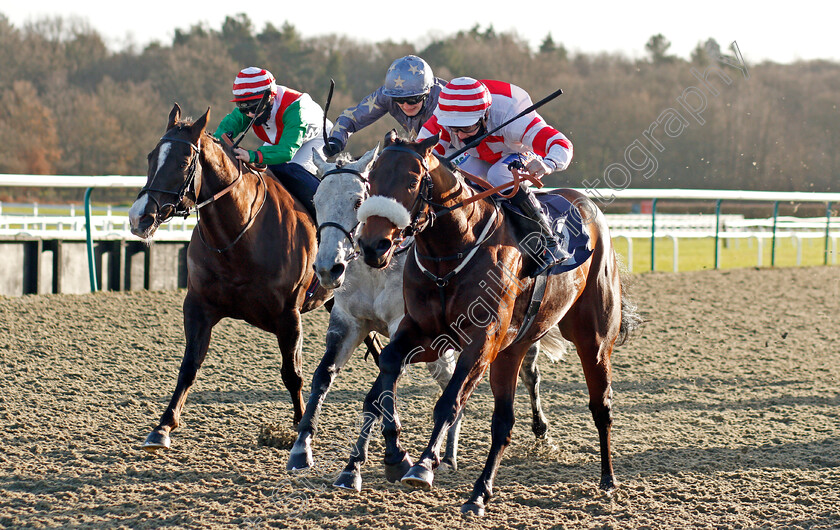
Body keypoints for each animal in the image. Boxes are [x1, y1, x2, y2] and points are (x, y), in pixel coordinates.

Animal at [130, 103, 330, 450]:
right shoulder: (198, 305)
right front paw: (163, 427)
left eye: (183, 162)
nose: (138, 217)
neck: (240, 236)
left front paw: (300, 429)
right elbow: (189, 366)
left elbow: (292, 373)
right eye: (151, 156)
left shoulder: (288, 314)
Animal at [338, 131, 640, 512]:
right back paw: (479, 492)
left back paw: (607, 481)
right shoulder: (425, 333)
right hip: (512, 350)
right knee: (504, 423)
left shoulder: (480, 340)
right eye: (371, 179)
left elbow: (449, 403)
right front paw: (382, 459)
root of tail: (588, 206)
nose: (373, 245)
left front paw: (423, 465)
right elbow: (386, 373)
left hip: (593, 340)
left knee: (601, 406)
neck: (449, 253)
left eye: (412, 180)